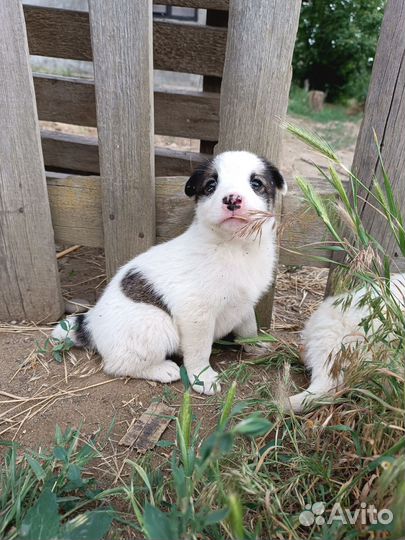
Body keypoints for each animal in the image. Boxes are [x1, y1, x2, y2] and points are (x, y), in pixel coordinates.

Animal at [52, 150, 286, 394]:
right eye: (211, 185)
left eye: (256, 183)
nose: (232, 200)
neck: (235, 246)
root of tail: (90, 323)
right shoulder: (196, 315)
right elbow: (200, 350)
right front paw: (202, 377)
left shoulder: (245, 301)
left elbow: (249, 326)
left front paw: (255, 344)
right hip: (156, 324)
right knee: (117, 364)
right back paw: (162, 370)